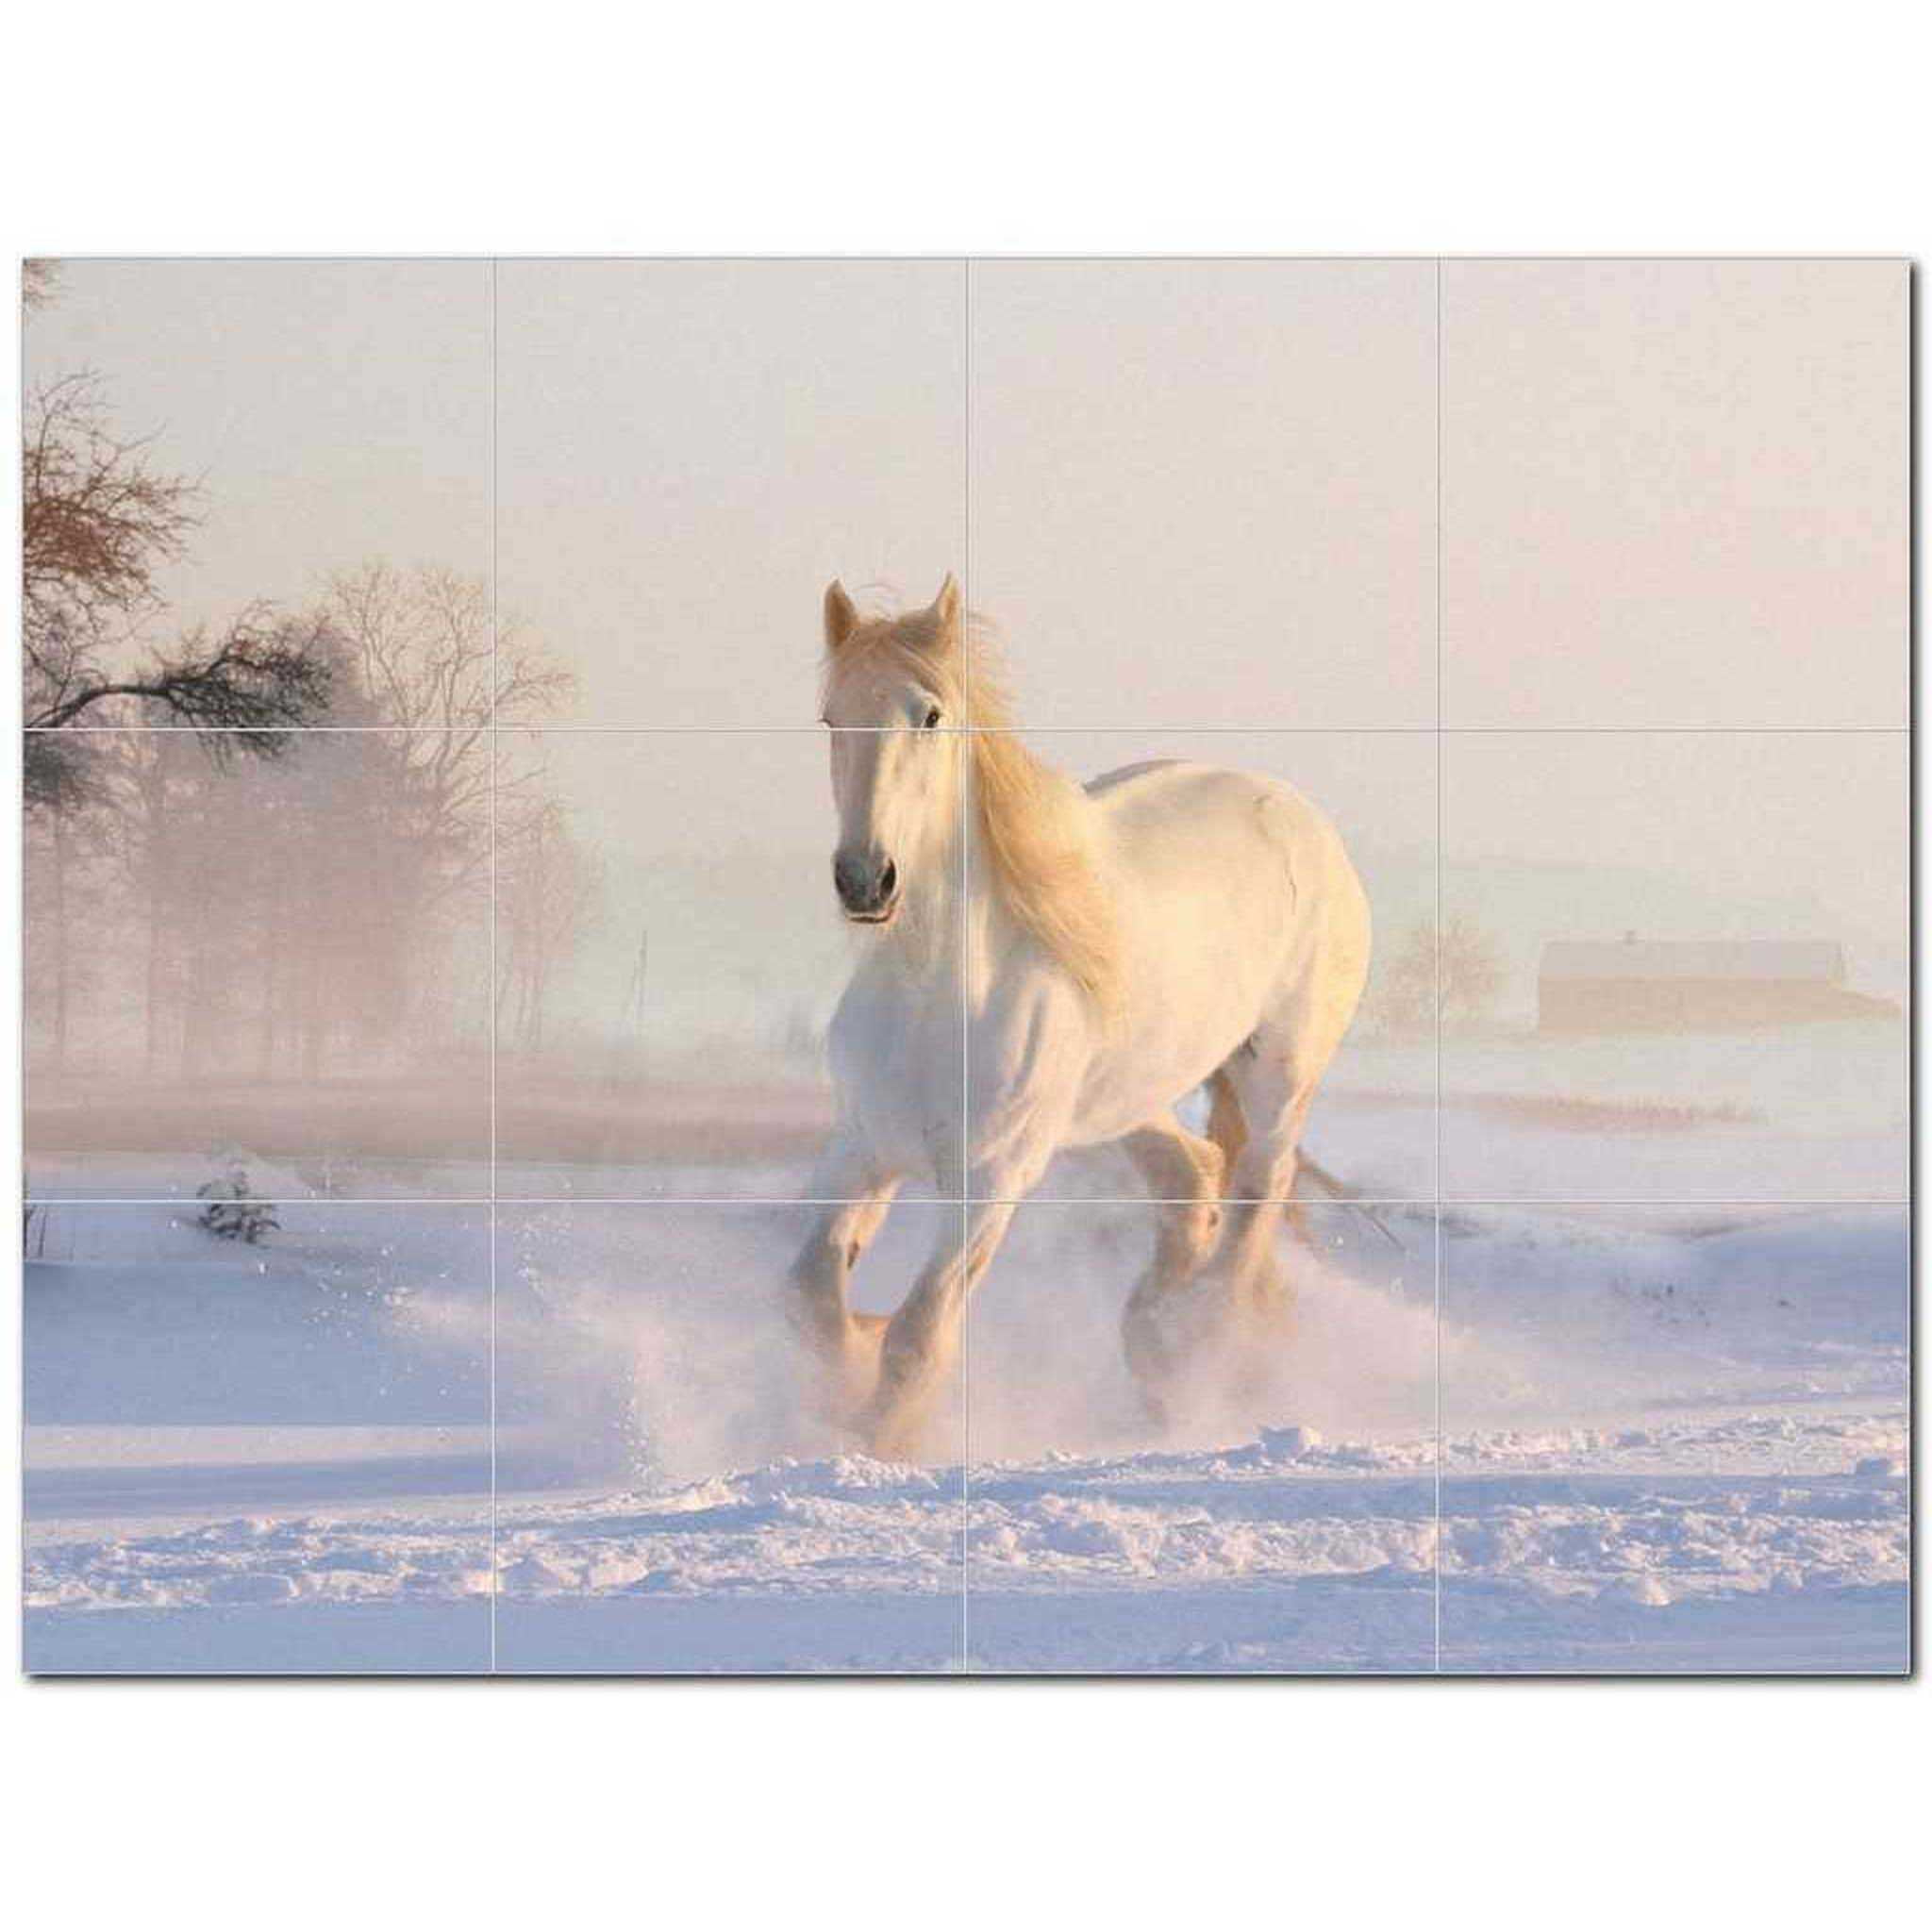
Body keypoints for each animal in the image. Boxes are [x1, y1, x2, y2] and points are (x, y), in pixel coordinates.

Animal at [790, 575, 1372, 1457]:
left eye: (930, 715)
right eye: (831, 717)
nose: (865, 879)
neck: (940, 997)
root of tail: (1298, 814)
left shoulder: (993, 1181)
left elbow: (918, 1337)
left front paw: (883, 1439)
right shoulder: (861, 1149)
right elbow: (813, 1296)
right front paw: (853, 1362)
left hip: (1279, 1072)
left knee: (1257, 1189)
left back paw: (1198, 1344)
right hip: (1122, 1100)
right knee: (1192, 1174)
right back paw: (1156, 1342)